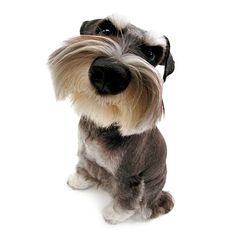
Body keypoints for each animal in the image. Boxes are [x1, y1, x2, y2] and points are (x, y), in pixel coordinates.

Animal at [47, 13, 175, 224]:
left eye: (150, 54)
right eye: (106, 30)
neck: (104, 126)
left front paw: (115, 214)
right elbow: (85, 167)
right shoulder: (86, 153)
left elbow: (126, 199)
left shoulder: (130, 177)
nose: (110, 72)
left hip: (151, 188)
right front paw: (79, 180)